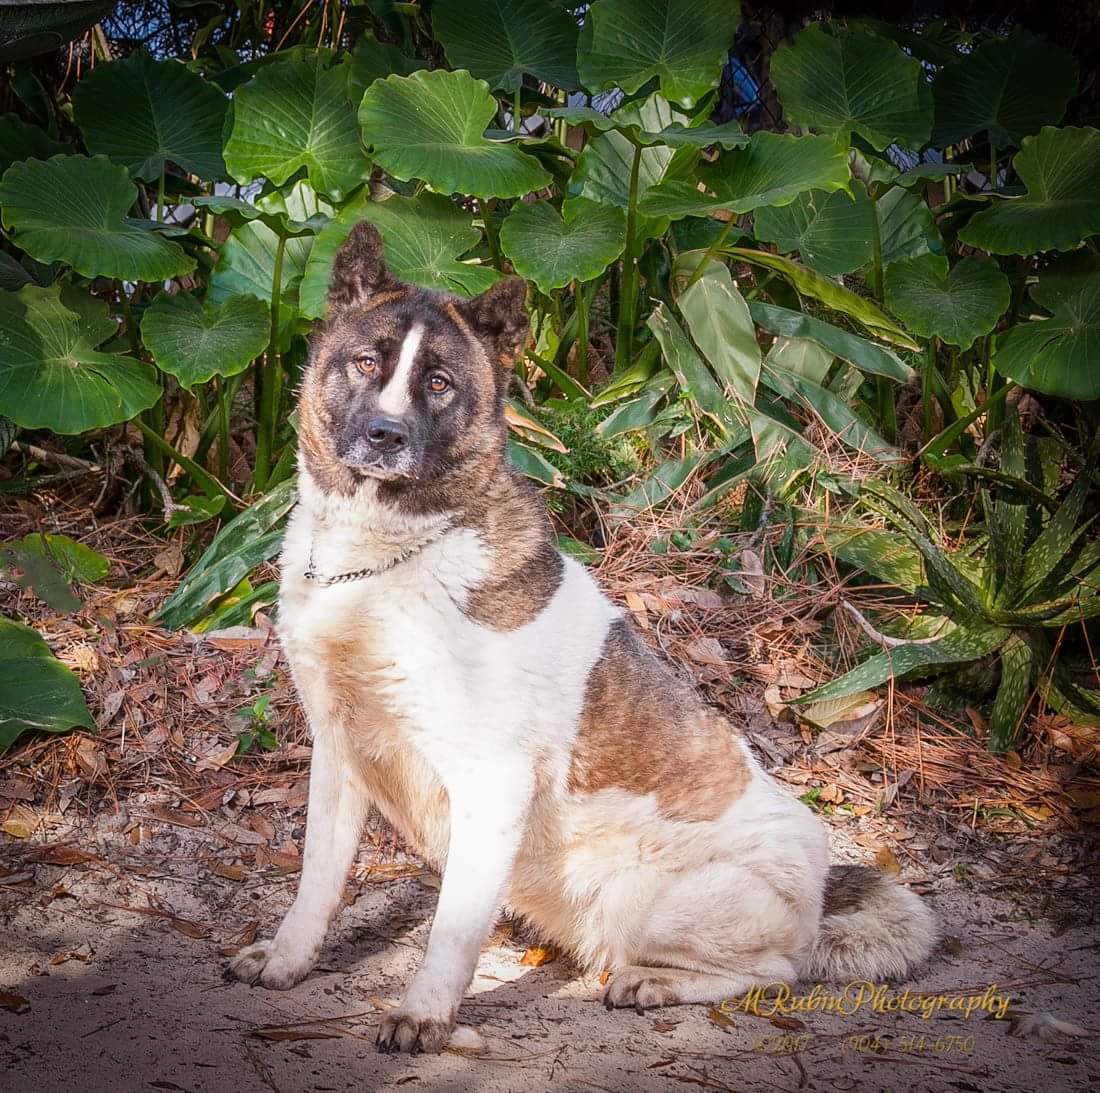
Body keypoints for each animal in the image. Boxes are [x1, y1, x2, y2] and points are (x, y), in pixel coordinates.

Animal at [225, 219, 937, 1046]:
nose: (384, 434)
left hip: (654, 900)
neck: (382, 561)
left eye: (439, 383)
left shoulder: (492, 779)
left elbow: (450, 930)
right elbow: (316, 883)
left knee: (774, 970)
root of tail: (822, 891)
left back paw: (653, 983)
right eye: (367, 362)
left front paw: (424, 1014)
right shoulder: (340, 757)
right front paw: (287, 960)